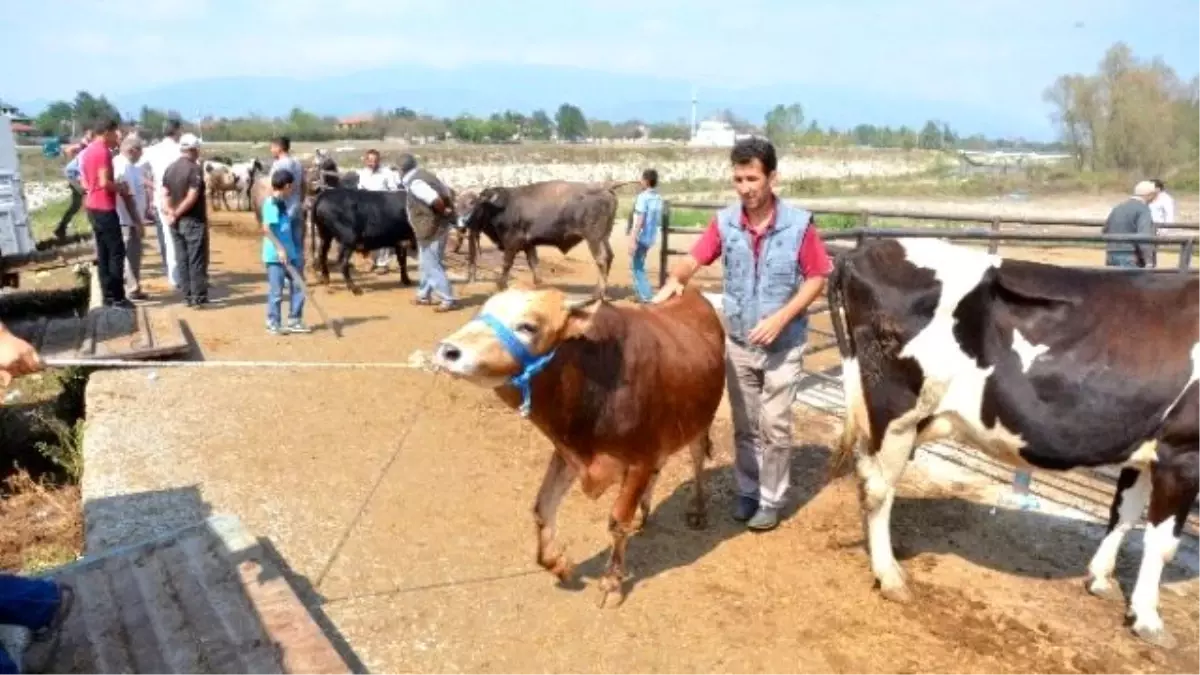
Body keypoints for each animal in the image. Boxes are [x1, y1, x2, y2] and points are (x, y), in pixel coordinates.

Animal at [434, 283, 724, 605]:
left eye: (528, 326)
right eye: (482, 312)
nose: (448, 351)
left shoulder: (640, 459)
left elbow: (617, 521)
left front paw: (611, 582)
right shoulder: (568, 453)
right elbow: (543, 506)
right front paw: (557, 563)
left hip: (700, 422)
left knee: (697, 460)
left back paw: (698, 510)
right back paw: (644, 511)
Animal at [453, 178, 638, 296]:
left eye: (473, 202)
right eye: (456, 204)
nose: (461, 223)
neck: (499, 207)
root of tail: (605, 186)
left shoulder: (512, 242)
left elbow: (506, 264)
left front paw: (500, 285)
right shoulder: (528, 244)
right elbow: (533, 263)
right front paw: (538, 284)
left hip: (594, 238)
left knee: (602, 260)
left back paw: (598, 293)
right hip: (604, 237)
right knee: (610, 257)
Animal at [830, 235, 1200, 648]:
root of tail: (865, 250)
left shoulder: (1145, 448)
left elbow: (1123, 514)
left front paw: (1101, 579)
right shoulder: (1184, 452)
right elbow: (1163, 543)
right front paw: (1149, 620)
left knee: (866, 475)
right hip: (898, 414)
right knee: (879, 490)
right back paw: (890, 576)